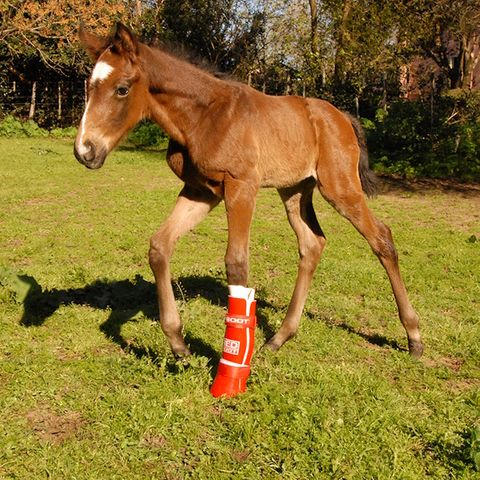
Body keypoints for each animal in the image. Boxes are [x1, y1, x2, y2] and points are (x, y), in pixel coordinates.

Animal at [75, 23, 424, 360]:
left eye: (122, 89)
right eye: (89, 86)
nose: (84, 151)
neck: (204, 115)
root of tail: (342, 117)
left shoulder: (241, 186)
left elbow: (236, 262)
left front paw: (232, 358)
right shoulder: (201, 190)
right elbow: (159, 246)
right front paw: (178, 343)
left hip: (340, 187)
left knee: (381, 238)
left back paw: (414, 337)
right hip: (294, 190)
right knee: (312, 244)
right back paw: (279, 338)